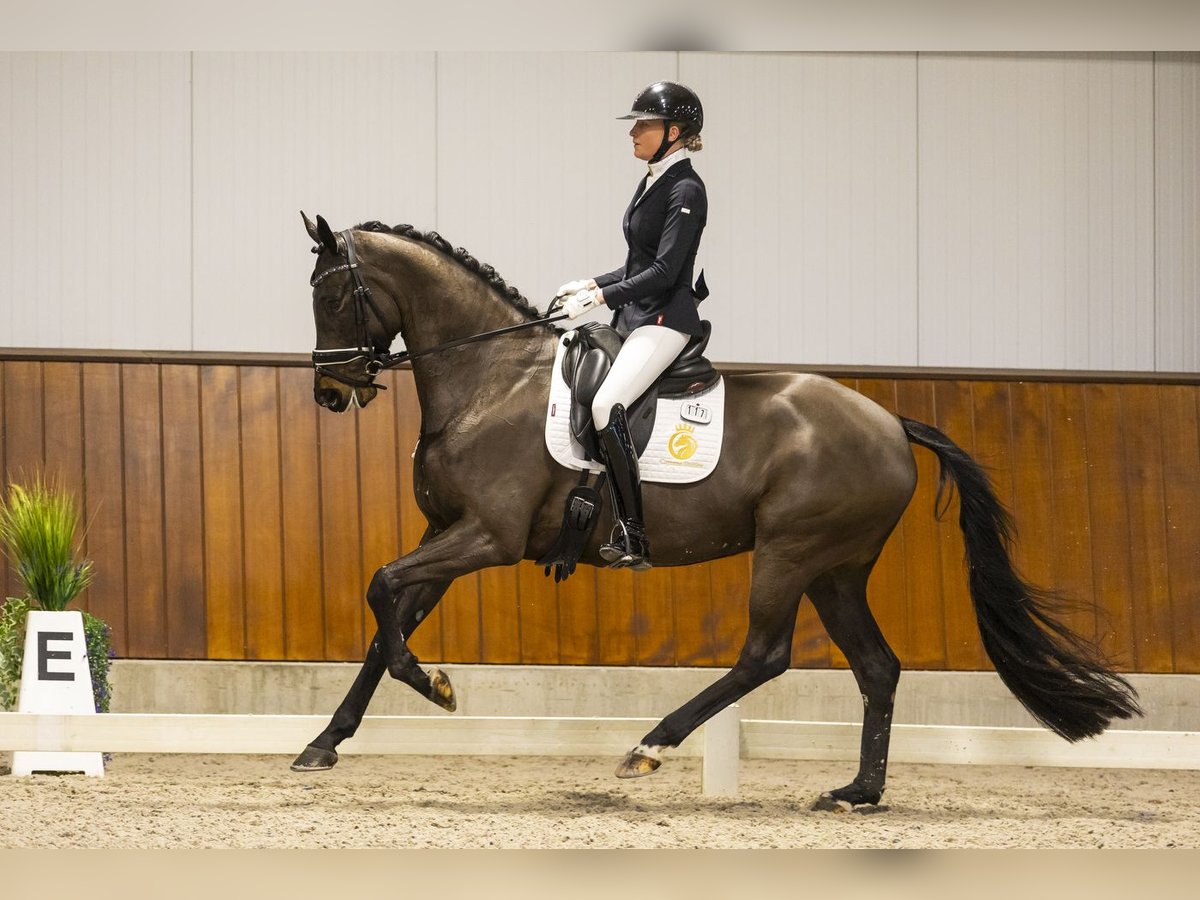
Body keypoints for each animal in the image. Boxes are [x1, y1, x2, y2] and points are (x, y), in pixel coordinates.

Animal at [292, 213, 1142, 811]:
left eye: (331, 295)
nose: (331, 392)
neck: (489, 379)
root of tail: (892, 424)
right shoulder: (447, 533)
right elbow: (384, 625)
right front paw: (324, 743)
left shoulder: (487, 538)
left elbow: (380, 589)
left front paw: (433, 684)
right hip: (837, 568)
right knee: (877, 667)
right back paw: (857, 793)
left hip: (791, 552)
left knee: (764, 654)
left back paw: (651, 747)